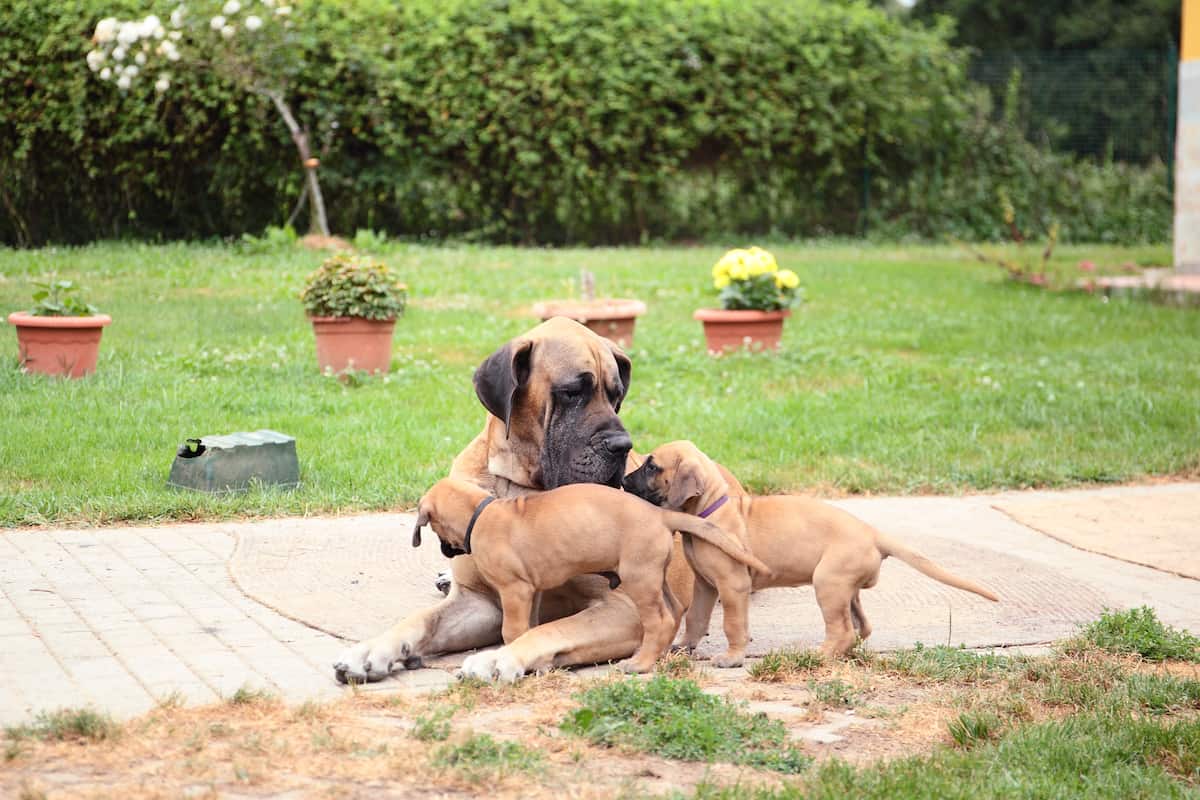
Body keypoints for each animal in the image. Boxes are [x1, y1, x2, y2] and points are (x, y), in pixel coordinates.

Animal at [412, 479, 768, 671]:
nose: (446, 552)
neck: (481, 512)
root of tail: (661, 514)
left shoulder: (515, 590)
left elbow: (512, 631)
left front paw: (506, 656)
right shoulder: (532, 590)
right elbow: (530, 625)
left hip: (638, 579)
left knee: (660, 620)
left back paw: (640, 664)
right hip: (655, 576)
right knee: (675, 610)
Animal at [624, 443, 998, 662]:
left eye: (652, 467)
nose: (624, 482)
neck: (710, 510)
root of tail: (873, 533)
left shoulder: (732, 587)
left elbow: (732, 623)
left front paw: (732, 657)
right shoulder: (706, 586)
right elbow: (697, 618)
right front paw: (683, 648)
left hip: (828, 583)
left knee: (843, 628)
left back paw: (819, 655)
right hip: (845, 588)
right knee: (861, 626)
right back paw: (839, 653)